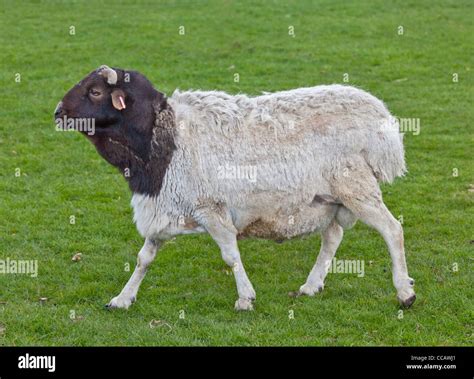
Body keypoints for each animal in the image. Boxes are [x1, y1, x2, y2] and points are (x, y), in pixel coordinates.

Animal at [54, 65, 414, 312]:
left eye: (95, 92)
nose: (58, 112)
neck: (164, 138)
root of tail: (381, 120)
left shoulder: (210, 207)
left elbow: (230, 254)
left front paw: (245, 298)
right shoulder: (164, 206)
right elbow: (144, 258)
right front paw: (122, 298)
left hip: (356, 187)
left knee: (392, 230)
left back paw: (405, 292)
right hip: (330, 198)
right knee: (333, 237)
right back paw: (311, 285)